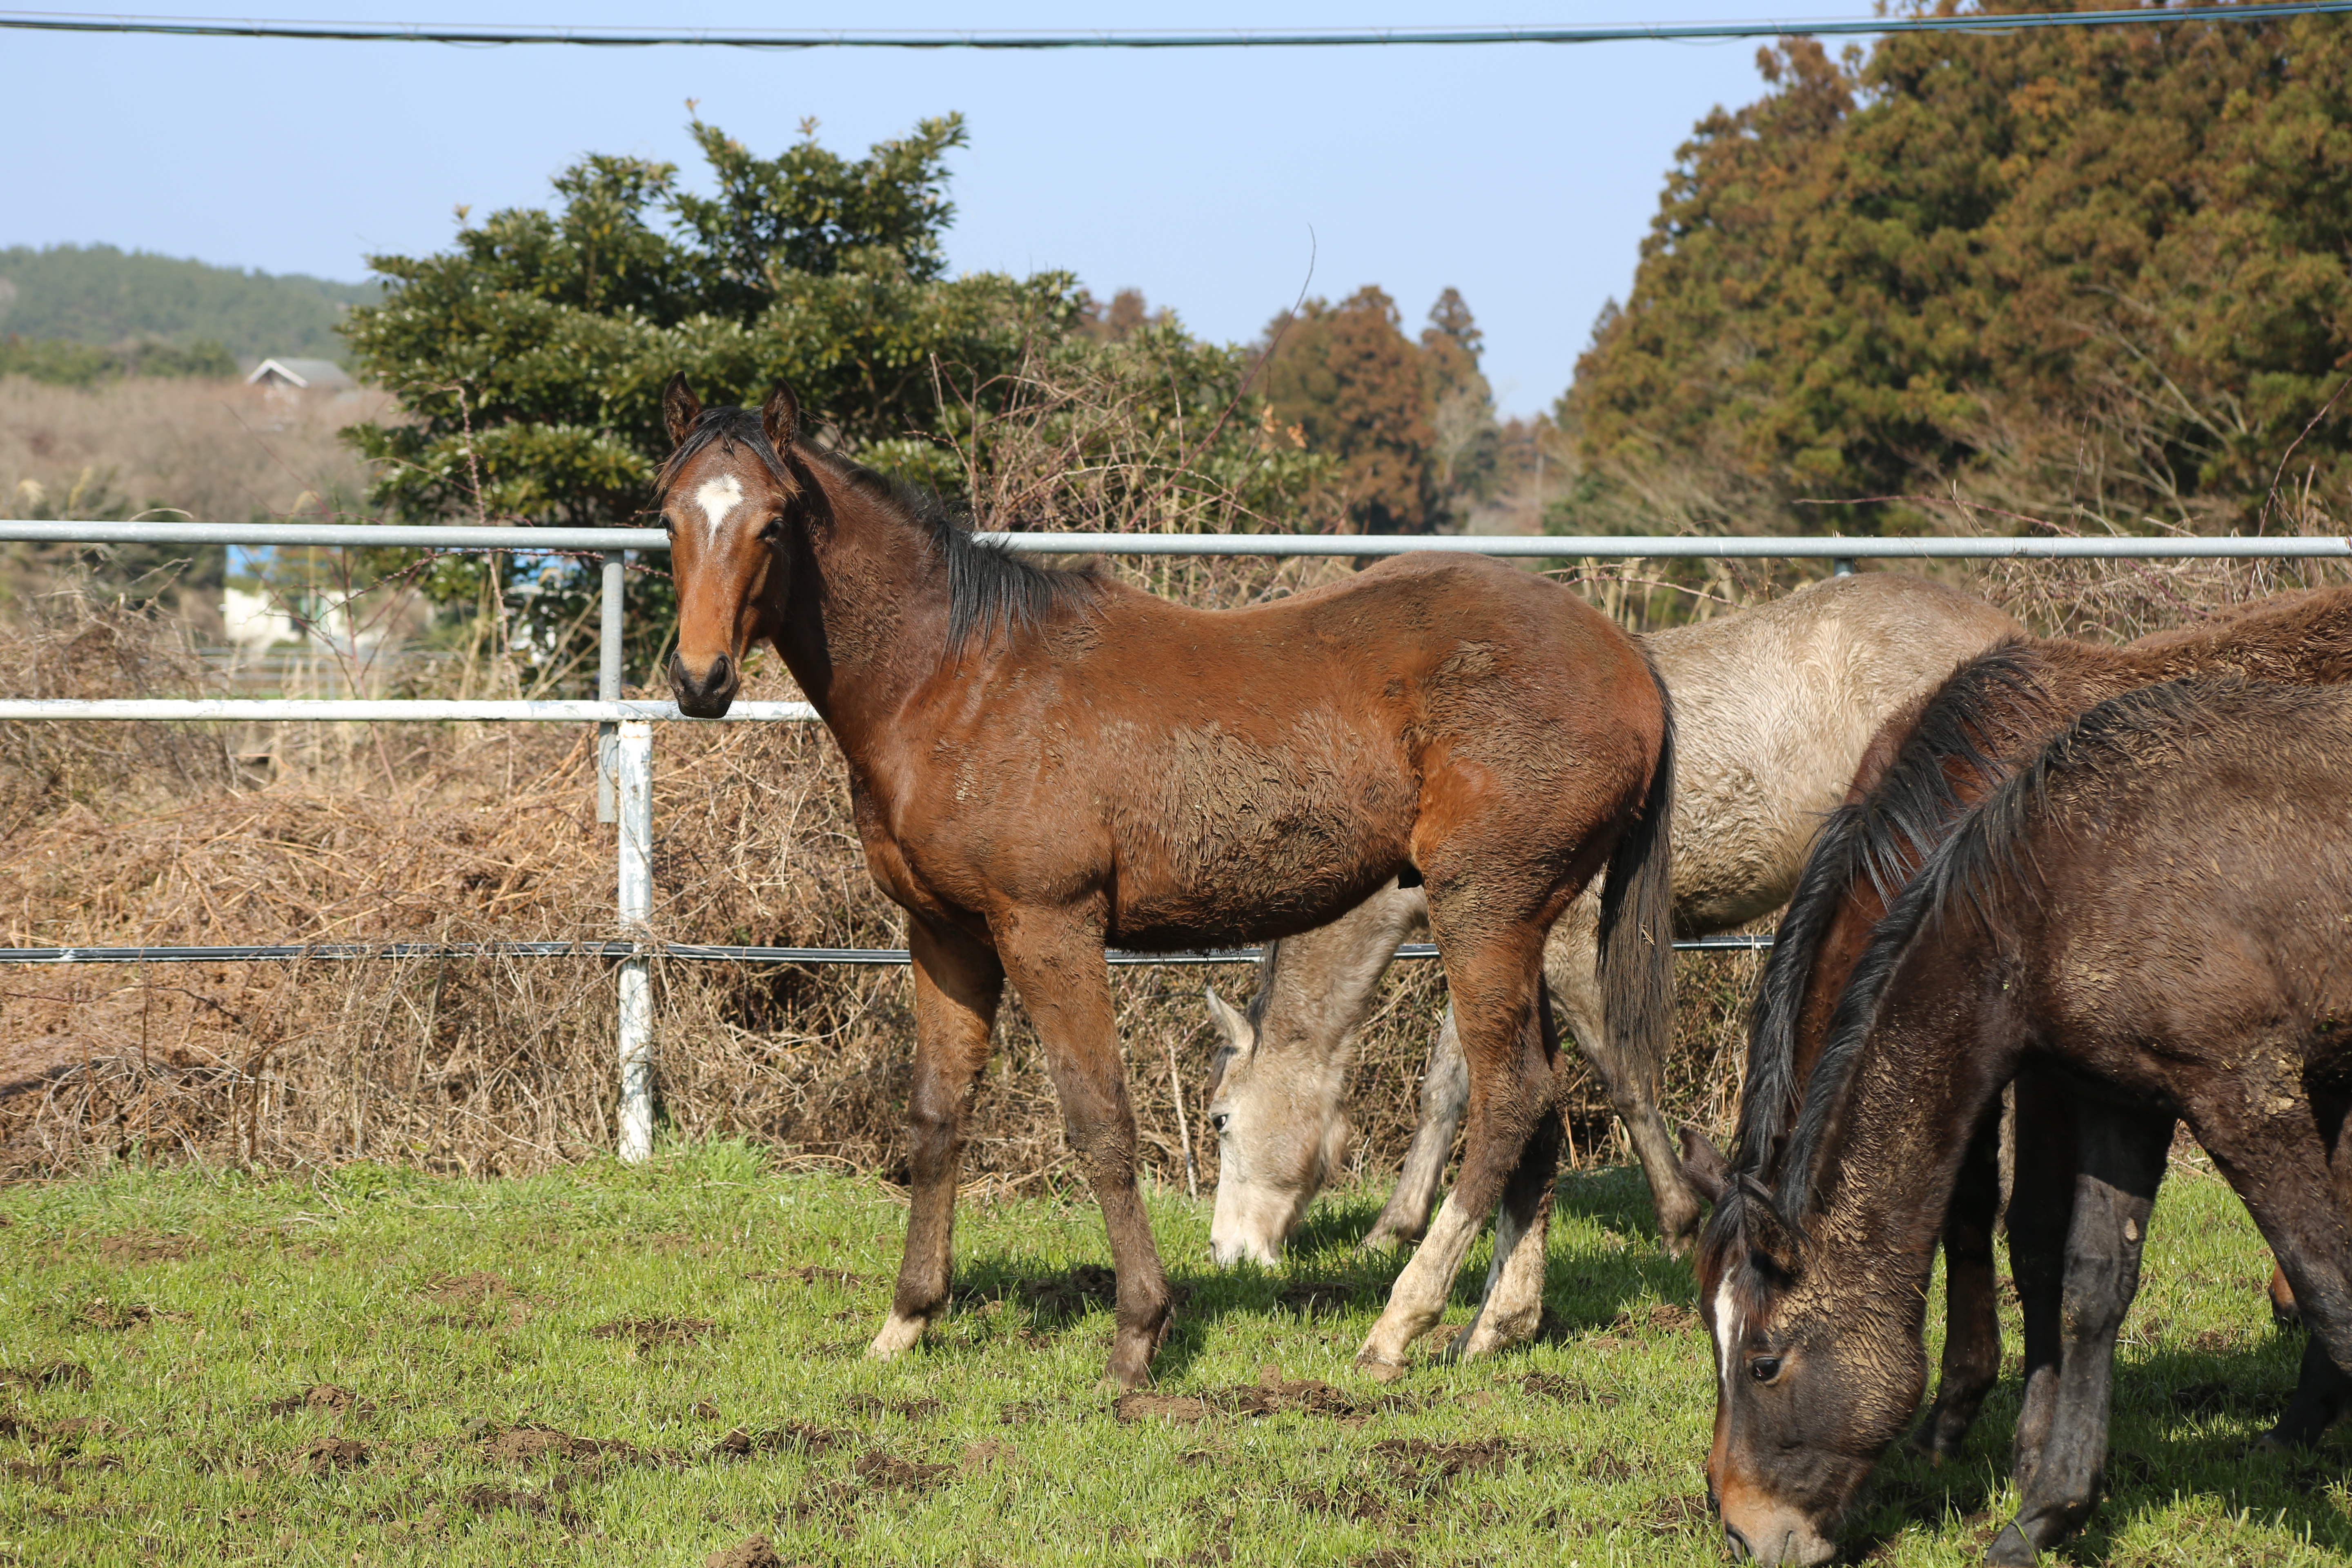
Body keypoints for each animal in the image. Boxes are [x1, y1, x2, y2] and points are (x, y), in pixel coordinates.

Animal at [658, 376, 1675, 1382]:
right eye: (668, 515)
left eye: (774, 524)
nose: (700, 679)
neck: (959, 679)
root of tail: (1628, 656)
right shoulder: (946, 936)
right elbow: (938, 1117)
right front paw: (907, 1320)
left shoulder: (1048, 927)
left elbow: (1099, 1119)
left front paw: (1138, 1333)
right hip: (1522, 924)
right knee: (1538, 1114)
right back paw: (1496, 1325)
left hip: (1484, 914)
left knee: (1512, 1101)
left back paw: (1400, 1323)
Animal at [1684, 682, 2352, 1568]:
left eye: (1763, 1363)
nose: (1741, 1530)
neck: (2064, 877)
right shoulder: (2120, 1103)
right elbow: (2091, 1290)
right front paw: (2048, 1512)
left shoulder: (2243, 1092)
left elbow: (2325, 1282)